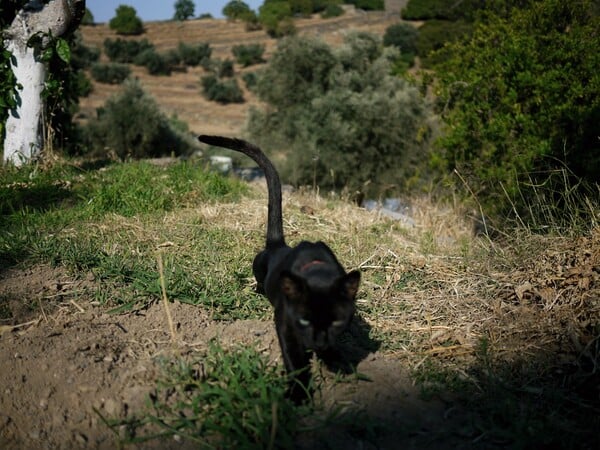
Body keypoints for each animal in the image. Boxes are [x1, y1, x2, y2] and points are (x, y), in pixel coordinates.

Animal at [198, 135, 360, 402]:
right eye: (304, 320)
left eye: (336, 323)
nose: (318, 342)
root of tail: (278, 244)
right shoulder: (285, 324)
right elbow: (294, 360)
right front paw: (298, 394)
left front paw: (336, 360)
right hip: (257, 267)